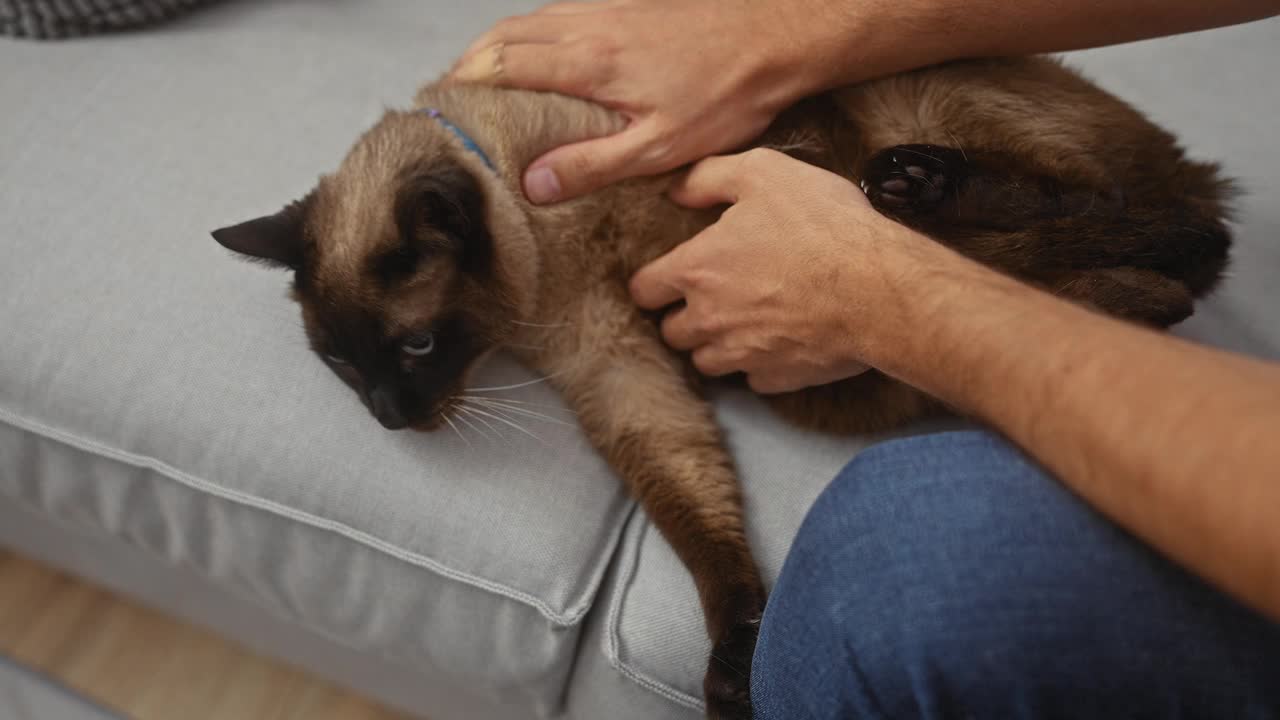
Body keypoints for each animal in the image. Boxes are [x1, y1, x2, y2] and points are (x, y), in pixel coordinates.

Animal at [209, 57, 1228, 717]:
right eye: (343, 363)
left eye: (416, 346)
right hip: (852, 375)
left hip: (916, 106)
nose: (389, 418)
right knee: (1120, 278)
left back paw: (920, 187)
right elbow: (698, 514)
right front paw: (739, 656)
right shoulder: (620, 373)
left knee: (1137, 224)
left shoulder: (731, 179)